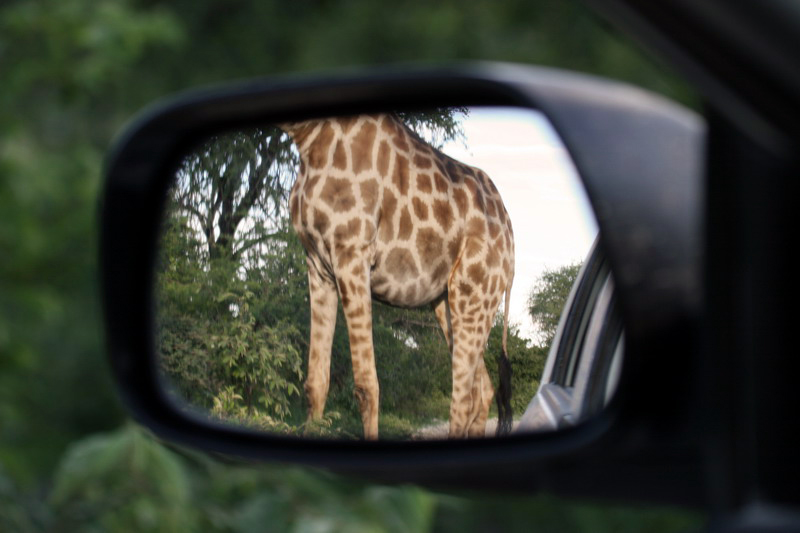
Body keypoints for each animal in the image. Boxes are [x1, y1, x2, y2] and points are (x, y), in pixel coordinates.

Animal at [278, 114, 516, 438]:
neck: (308, 137)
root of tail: (511, 238)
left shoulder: (352, 252)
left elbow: (366, 387)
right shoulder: (318, 264)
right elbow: (315, 382)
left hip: (475, 291)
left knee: (464, 398)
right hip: (452, 300)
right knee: (484, 390)